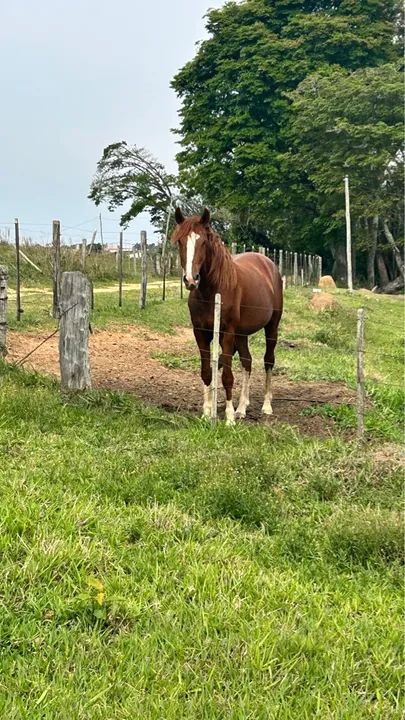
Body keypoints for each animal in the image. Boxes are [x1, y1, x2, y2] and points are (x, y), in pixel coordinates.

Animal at [171, 207, 283, 425]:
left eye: (203, 242)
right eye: (180, 241)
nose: (191, 280)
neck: (212, 290)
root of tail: (268, 263)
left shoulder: (228, 333)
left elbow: (227, 376)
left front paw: (229, 417)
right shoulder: (200, 333)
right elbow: (207, 371)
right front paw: (207, 412)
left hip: (271, 327)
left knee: (268, 360)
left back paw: (266, 406)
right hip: (242, 334)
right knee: (247, 361)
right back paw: (242, 407)